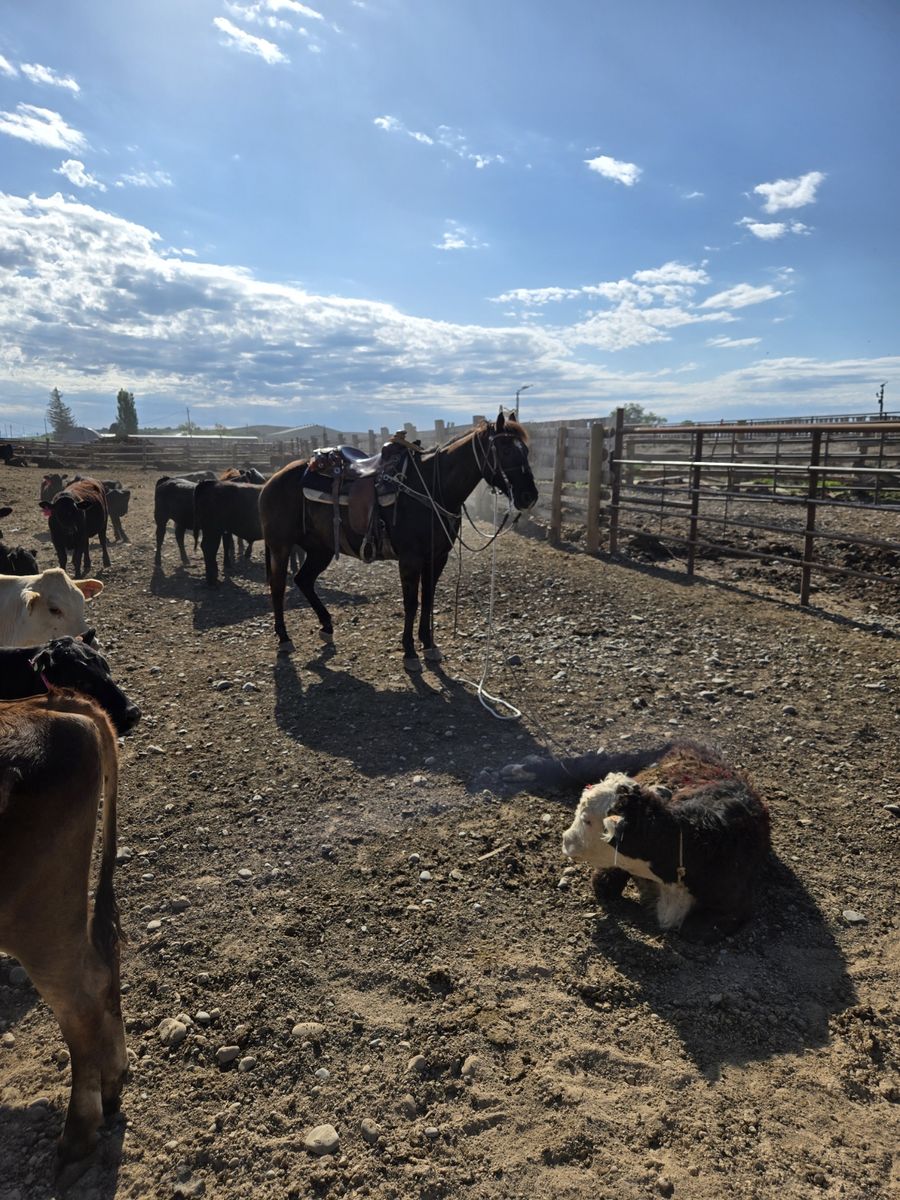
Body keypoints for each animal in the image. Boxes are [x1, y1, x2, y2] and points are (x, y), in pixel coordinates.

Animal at [260, 411, 538, 669]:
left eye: (525, 450)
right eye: (504, 449)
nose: (529, 496)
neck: (431, 488)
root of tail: (273, 479)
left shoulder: (437, 557)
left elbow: (428, 598)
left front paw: (429, 645)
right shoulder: (410, 559)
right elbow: (411, 603)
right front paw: (410, 652)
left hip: (320, 549)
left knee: (303, 580)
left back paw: (327, 627)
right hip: (281, 547)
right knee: (278, 587)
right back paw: (284, 638)